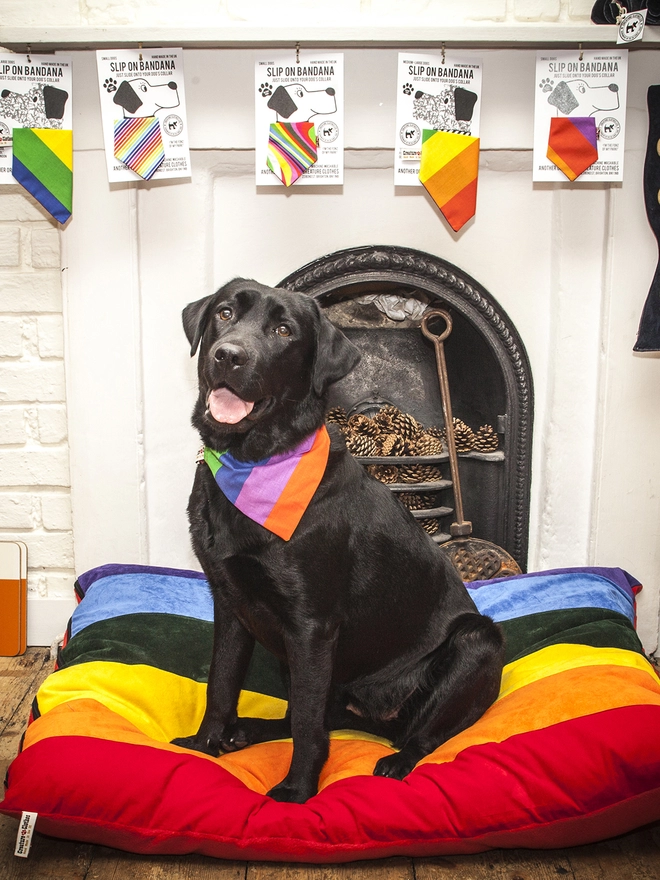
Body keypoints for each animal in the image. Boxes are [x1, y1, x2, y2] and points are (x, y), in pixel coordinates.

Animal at [173, 278, 502, 800]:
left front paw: (297, 791)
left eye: (284, 331)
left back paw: (396, 761)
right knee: (311, 715)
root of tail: (378, 717)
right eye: (224, 313)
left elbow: (308, 725)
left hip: (478, 641)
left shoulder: (312, 625)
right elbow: (221, 685)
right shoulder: (230, 605)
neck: (253, 459)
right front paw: (204, 747)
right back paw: (248, 731)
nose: (228, 356)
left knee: (421, 734)